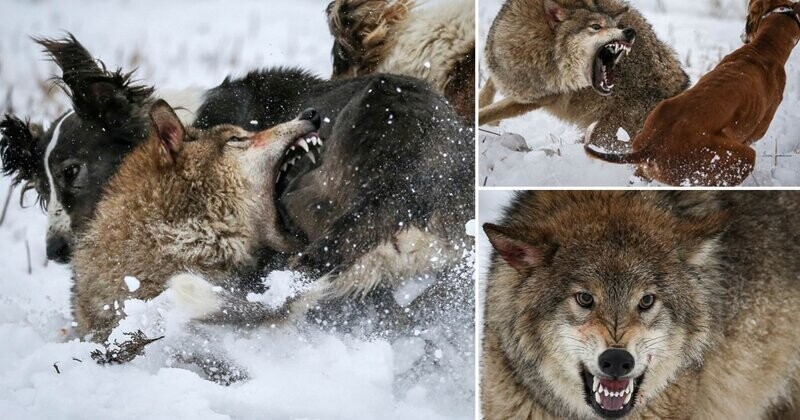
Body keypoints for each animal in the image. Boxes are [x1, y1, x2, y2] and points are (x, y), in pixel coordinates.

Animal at [478, 0, 692, 150]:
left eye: (615, 25)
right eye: (596, 27)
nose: (630, 32)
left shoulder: (534, 99)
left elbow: (489, 112)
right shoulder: (499, 69)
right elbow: (486, 92)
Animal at [580, 0, 800, 187]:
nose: (742, 37)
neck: (763, 48)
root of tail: (653, 146)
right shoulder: (754, 133)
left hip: (647, 161)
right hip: (740, 157)